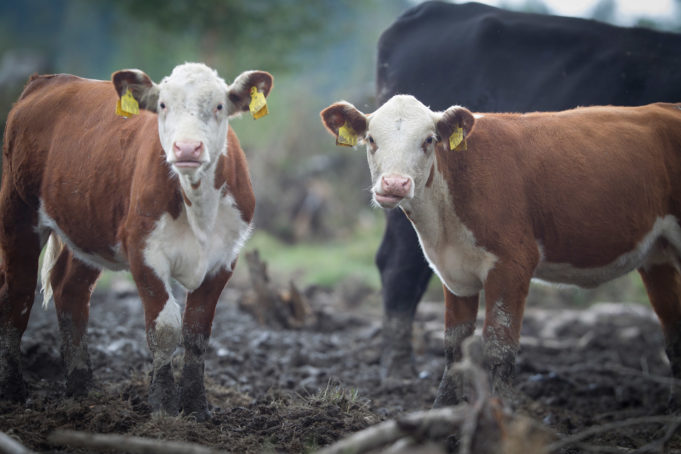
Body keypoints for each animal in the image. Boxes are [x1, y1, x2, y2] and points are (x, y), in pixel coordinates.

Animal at [0, 63, 270, 418]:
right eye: (163, 105)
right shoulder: (144, 253)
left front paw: (196, 407)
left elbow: (197, 331)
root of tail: (48, 80)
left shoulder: (223, 260)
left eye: (219, 106)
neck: (198, 205)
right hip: (17, 210)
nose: (187, 148)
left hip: (88, 226)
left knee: (70, 292)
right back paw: (14, 390)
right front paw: (163, 404)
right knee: (16, 297)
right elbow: (165, 328)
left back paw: (81, 386)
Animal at [322, 95, 680, 404]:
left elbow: (499, 348)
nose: (395, 184)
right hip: (658, 255)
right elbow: (454, 346)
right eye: (371, 139)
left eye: (429, 140)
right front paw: (442, 408)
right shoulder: (453, 272)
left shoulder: (513, 264)